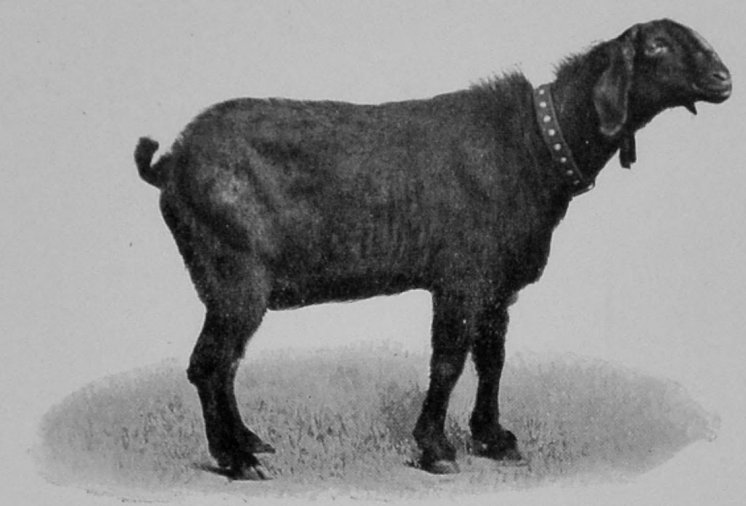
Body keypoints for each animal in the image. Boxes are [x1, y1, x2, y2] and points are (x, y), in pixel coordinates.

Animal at [134, 19, 731, 479]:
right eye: (657, 46)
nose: (723, 78)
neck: (535, 145)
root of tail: (169, 163)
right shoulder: (459, 279)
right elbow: (448, 360)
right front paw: (437, 449)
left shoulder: (497, 287)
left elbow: (491, 358)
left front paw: (493, 438)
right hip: (235, 277)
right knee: (208, 364)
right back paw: (235, 461)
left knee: (225, 365)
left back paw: (250, 441)